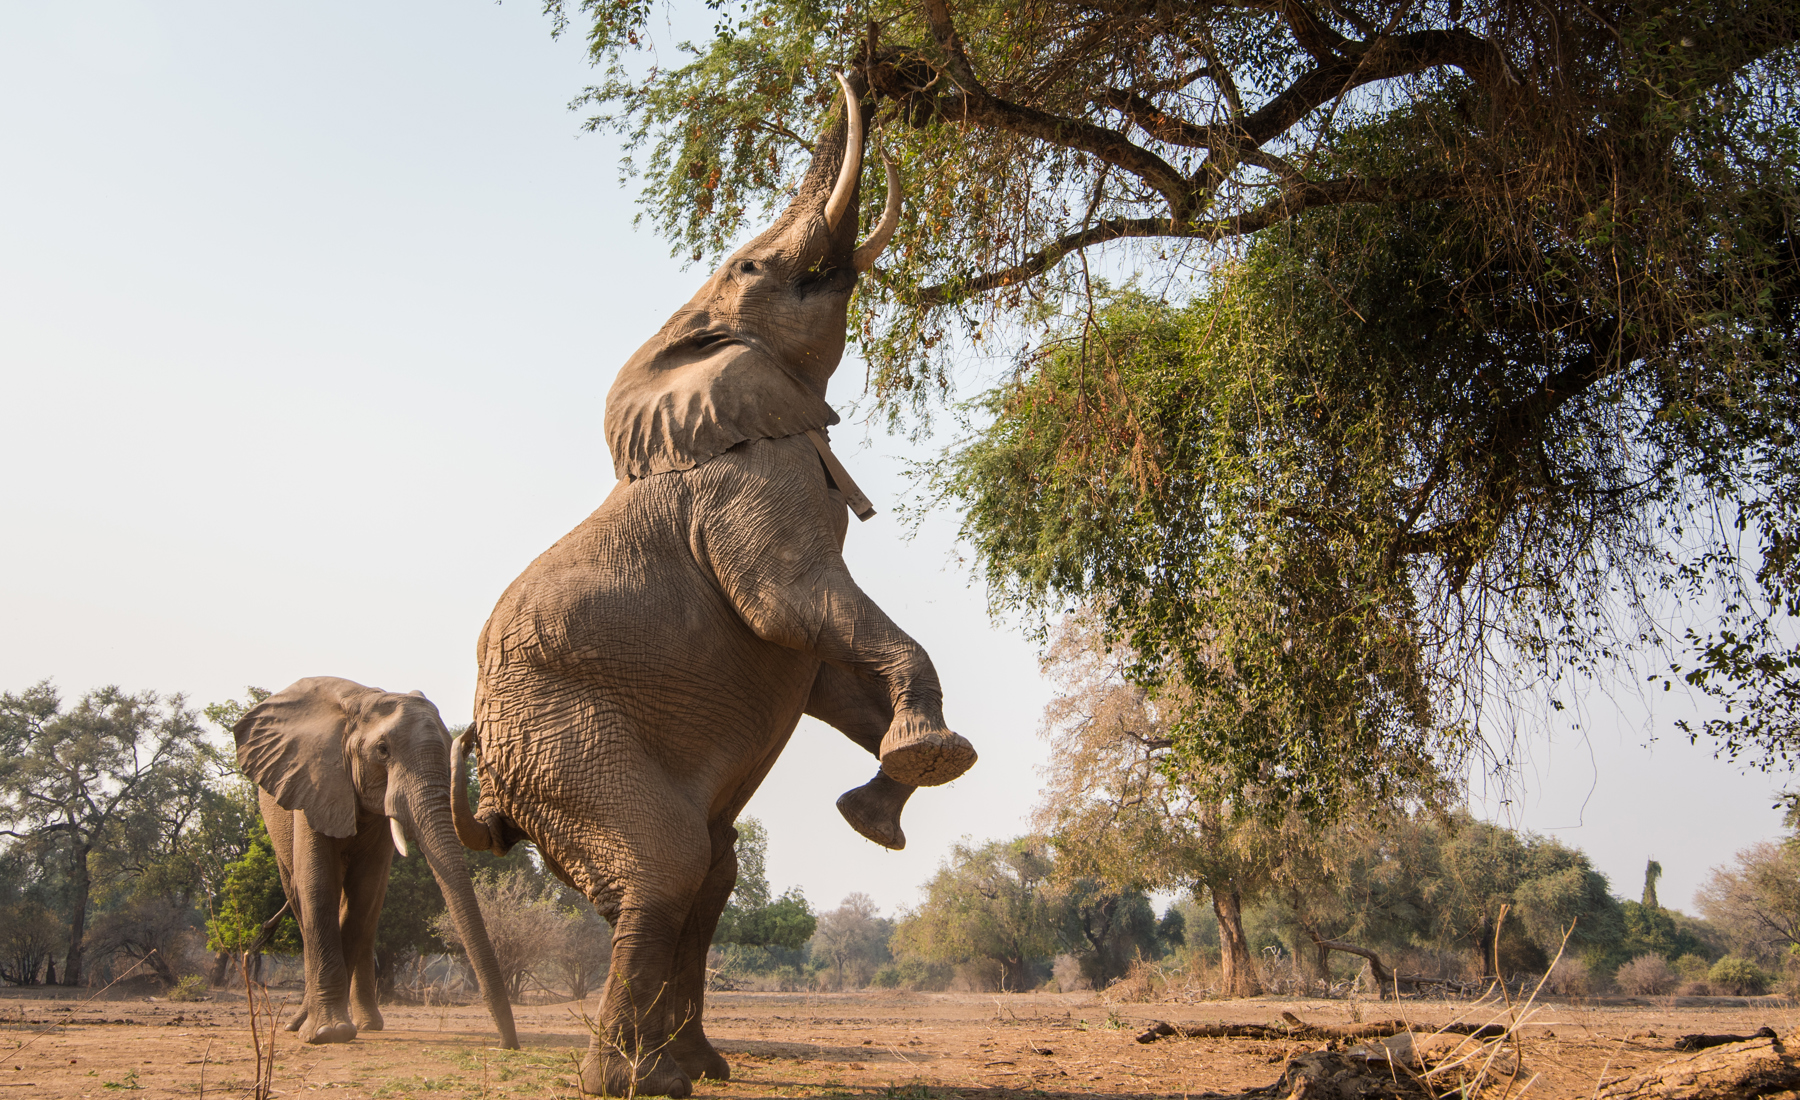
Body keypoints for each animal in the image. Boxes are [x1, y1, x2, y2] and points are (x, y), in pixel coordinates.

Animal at [233, 677, 519, 1049]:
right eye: (382, 750)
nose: (507, 1044)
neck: (362, 702)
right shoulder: (314, 779)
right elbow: (317, 884)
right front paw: (326, 1033)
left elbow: (363, 892)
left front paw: (329, 1029)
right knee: (298, 897)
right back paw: (301, 1022)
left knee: (367, 912)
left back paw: (366, 1024)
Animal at [455, 71, 975, 1096]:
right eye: (749, 265)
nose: (859, 70)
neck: (687, 340)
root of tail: (490, 785)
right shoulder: (750, 489)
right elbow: (794, 606)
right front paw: (927, 759)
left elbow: (823, 669)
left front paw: (886, 801)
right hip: (561, 742)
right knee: (667, 865)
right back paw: (632, 1083)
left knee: (707, 875)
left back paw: (693, 1068)